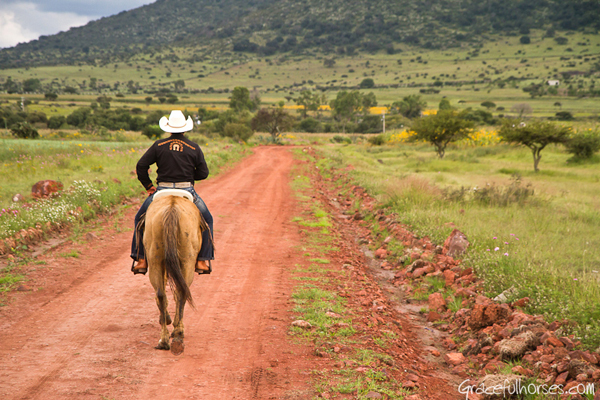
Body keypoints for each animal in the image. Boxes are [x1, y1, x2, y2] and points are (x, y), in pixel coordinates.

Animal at [144, 189, 206, 354]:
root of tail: (172, 207)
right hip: (187, 261)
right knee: (181, 291)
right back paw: (177, 333)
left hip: (155, 259)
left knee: (161, 294)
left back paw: (164, 340)